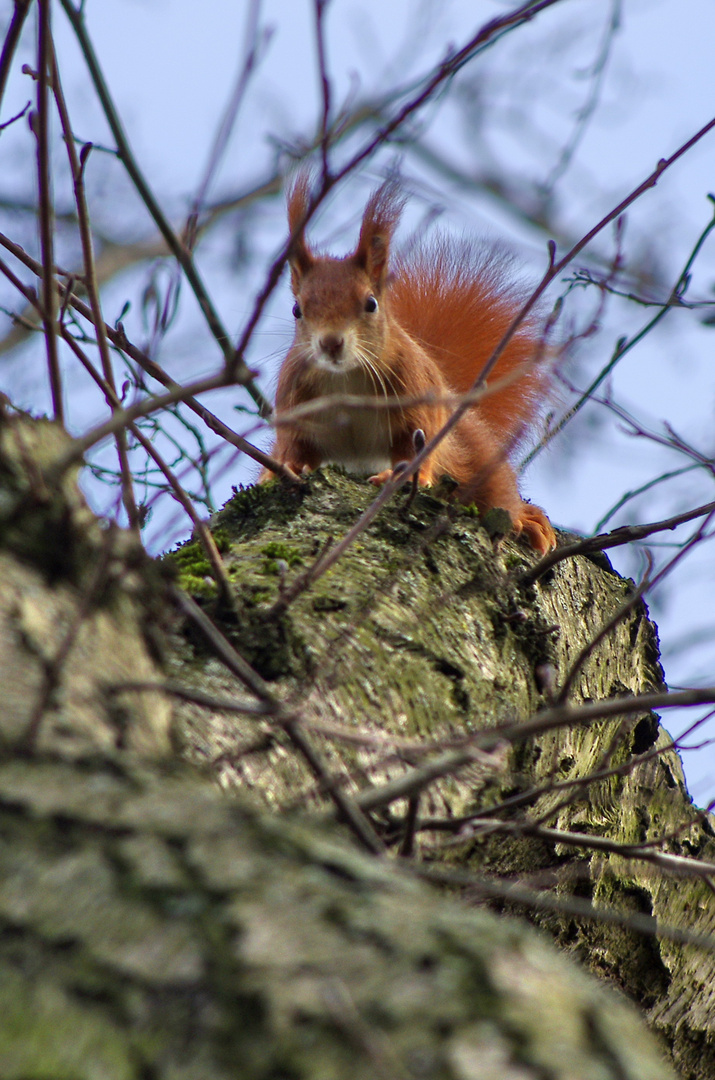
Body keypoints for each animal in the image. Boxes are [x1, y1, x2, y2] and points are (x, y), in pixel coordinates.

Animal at [265, 177, 557, 557]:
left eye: (371, 303)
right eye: (297, 310)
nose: (330, 343)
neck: (346, 380)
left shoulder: (416, 395)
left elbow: (420, 443)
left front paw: (398, 476)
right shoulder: (295, 403)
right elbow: (294, 446)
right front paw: (282, 470)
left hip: (476, 454)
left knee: (495, 490)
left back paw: (528, 520)